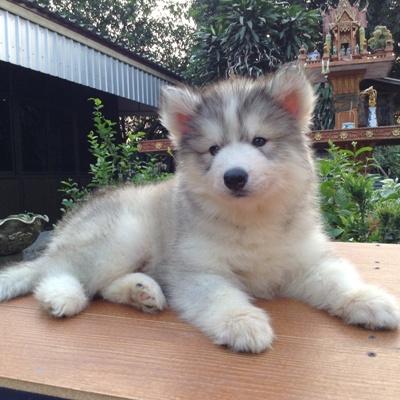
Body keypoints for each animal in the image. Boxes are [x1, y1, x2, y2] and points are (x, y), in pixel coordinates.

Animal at [1, 65, 399, 353]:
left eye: (259, 141)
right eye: (213, 149)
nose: (234, 176)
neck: (252, 219)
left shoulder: (306, 260)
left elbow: (338, 279)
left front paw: (368, 299)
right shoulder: (197, 269)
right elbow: (220, 295)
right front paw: (242, 322)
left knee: (102, 287)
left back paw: (141, 292)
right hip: (122, 235)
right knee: (59, 272)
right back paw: (62, 295)